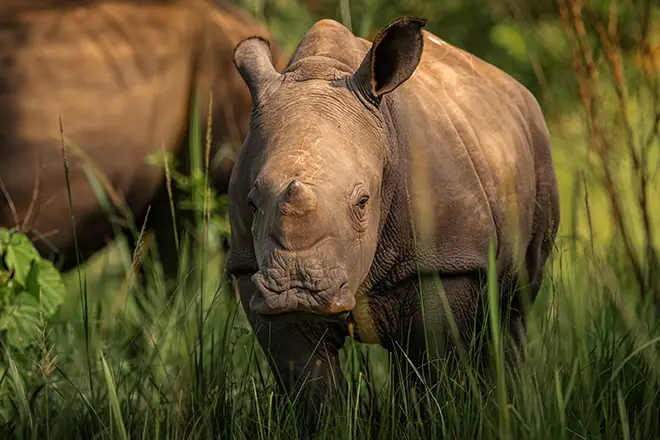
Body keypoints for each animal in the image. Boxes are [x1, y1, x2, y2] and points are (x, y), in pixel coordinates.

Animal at [227, 17, 560, 414]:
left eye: (362, 202)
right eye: (252, 204)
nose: (297, 291)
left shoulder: (442, 262)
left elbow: (429, 370)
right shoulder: (248, 266)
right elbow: (308, 381)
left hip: (536, 151)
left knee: (512, 313)